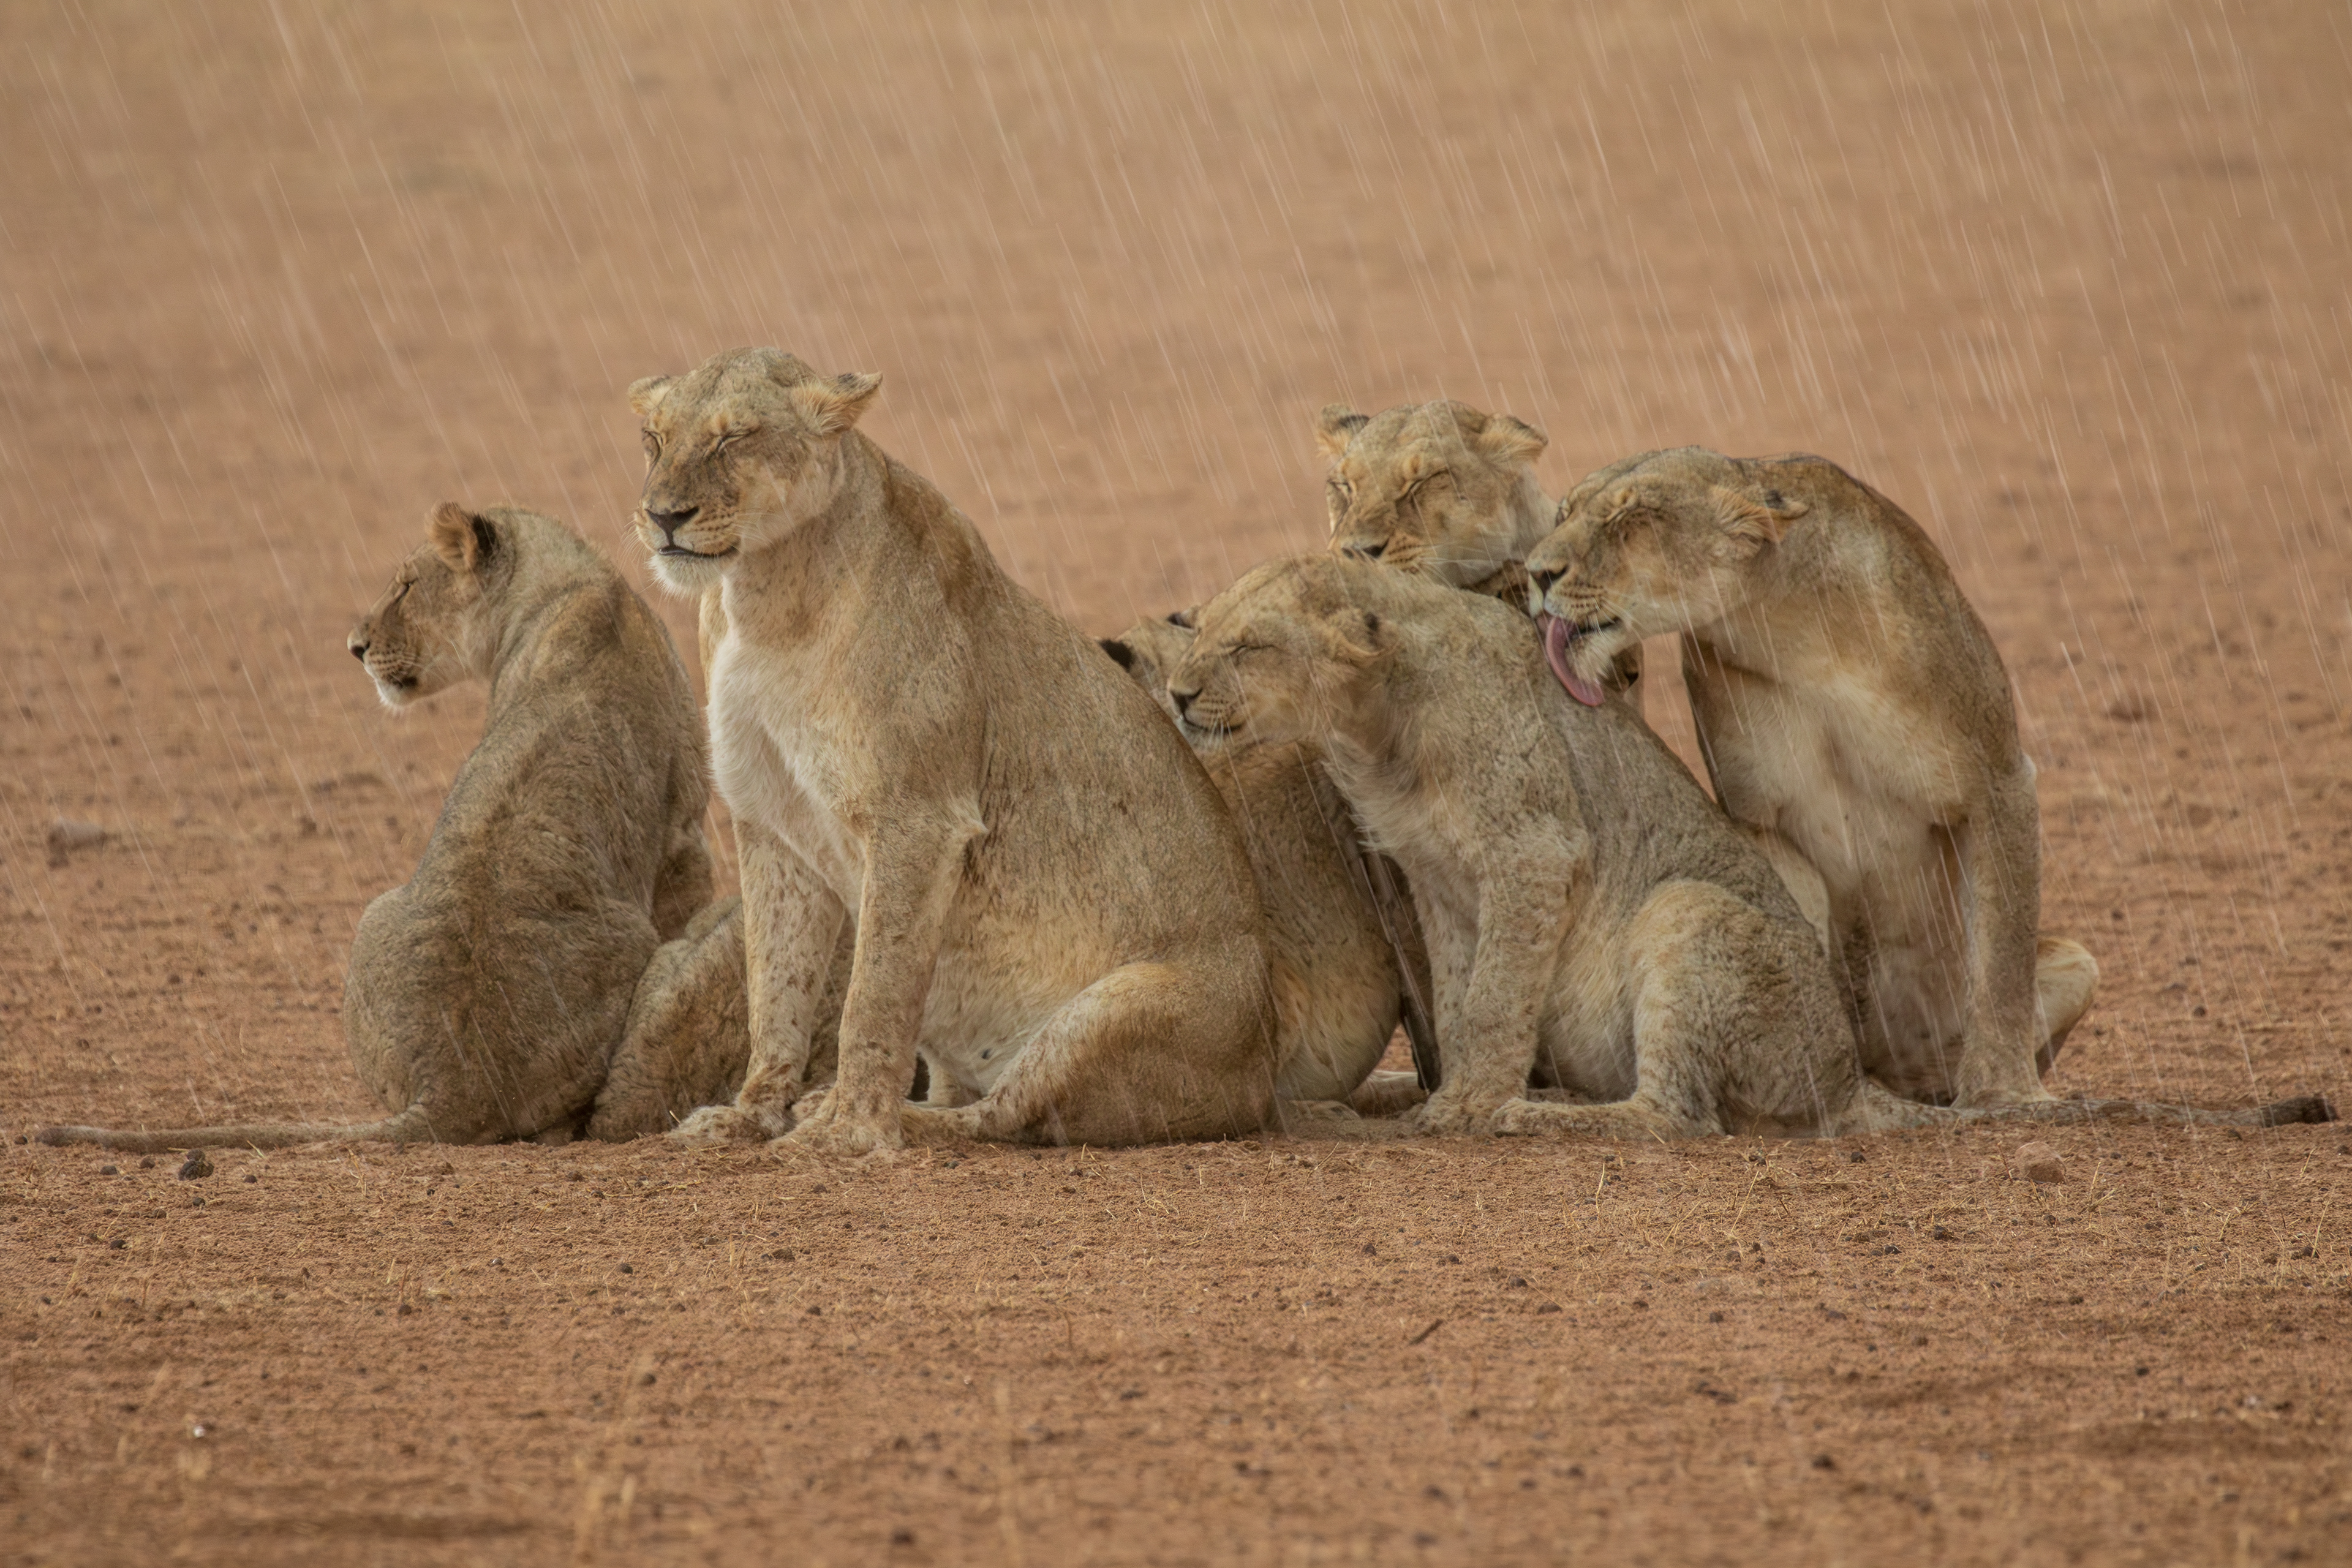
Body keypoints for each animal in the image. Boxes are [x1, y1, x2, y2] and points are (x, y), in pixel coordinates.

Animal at [39, 505, 720, 1151]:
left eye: (406, 587)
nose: (354, 646)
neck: (566, 581)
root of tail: (455, 1085)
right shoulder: (685, 828)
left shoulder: (683, 829)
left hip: (373, 915)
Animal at [626, 346, 1277, 1153]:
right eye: (655, 439)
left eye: (734, 438)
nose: (662, 516)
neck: (760, 593)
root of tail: (1264, 1081)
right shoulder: (768, 822)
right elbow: (773, 989)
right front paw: (749, 1115)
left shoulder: (919, 818)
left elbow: (871, 995)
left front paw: (849, 1132)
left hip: (1117, 1010)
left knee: (1003, 1116)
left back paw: (880, 1117)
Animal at [1161, 556, 2332, 1139]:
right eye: (1197, 631)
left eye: (1249, 646)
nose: (1174, 694)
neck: (1374, 730)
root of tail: (1849, 1074)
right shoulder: (1441, 882)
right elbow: (1460, 994)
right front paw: (1453, 1095)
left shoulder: (1532, 850)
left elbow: (1492, 1003)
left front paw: (1466, 1110)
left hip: (1684, 912)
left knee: (1680, 1120)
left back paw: (1550, 1119)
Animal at [1525, 448, 2104, 1108]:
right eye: (1564, 513)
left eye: (1631, 519)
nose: (1536, 573)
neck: (1789, 630)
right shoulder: (1761, 818)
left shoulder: (1999, 780)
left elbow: (2002, 963)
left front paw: (2004, 1090)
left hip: (2077, 965)